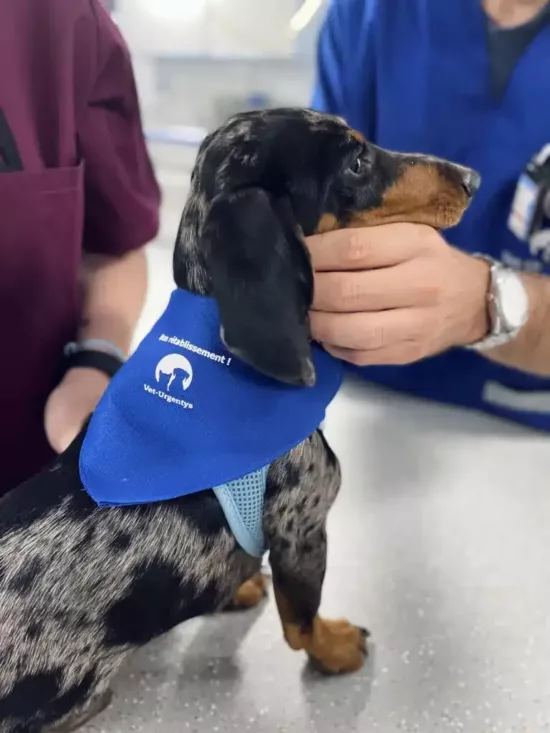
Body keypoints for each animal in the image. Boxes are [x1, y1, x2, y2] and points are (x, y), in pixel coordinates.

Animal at [0, 106, 480, 728]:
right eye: (355, 161)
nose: (472, 179)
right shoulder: (303, 529)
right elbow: (301, 619)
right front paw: (335, 648)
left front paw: (243, 587)